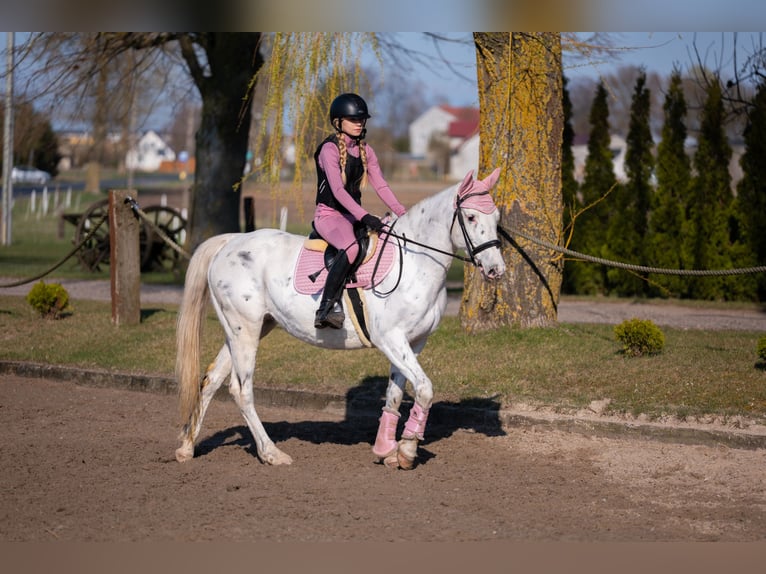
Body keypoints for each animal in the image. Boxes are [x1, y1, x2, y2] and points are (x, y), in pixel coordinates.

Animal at [175, 168, 506, 470]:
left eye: (497, 218)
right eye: (471, 218)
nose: (496, 270)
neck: (414, 262)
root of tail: (230, 243)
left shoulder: (413, 342)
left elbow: (395, 394)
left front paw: (387, 450)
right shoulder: (391, 338)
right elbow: (424, 389)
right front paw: (408, 450)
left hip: (244, 330)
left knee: (211, 380)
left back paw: (187, 447)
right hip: (245, 331)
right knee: (241, 389)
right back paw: (271, 453)